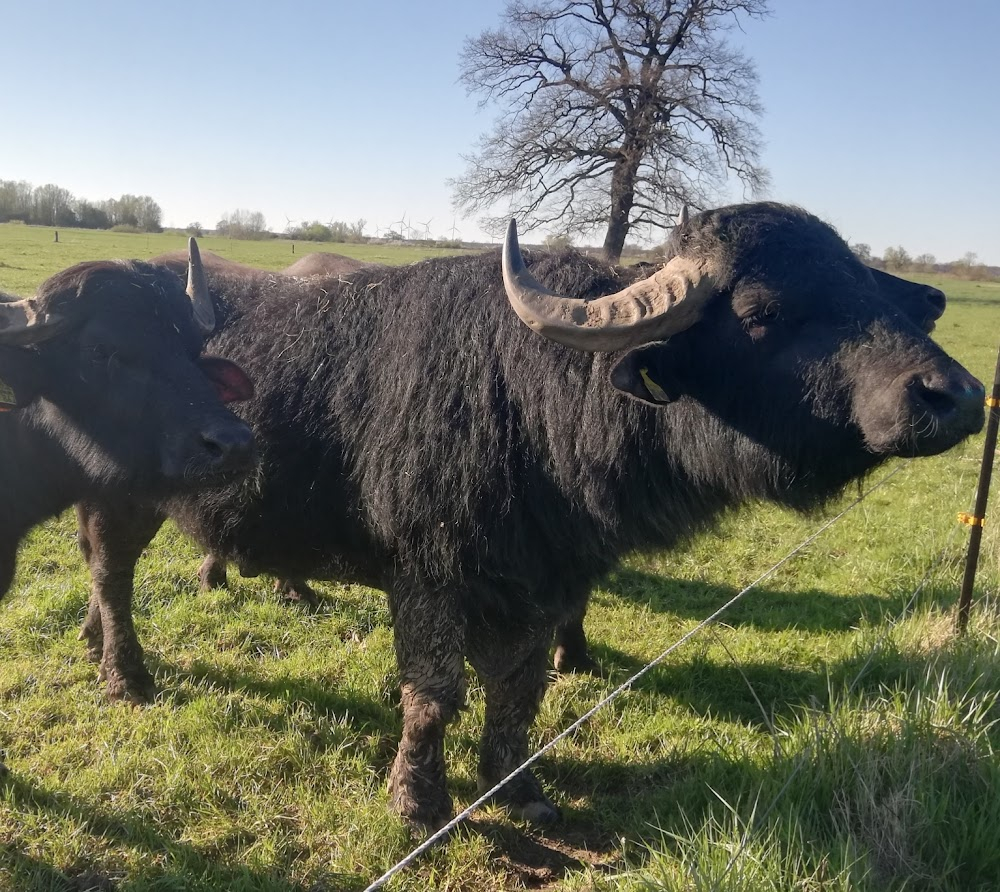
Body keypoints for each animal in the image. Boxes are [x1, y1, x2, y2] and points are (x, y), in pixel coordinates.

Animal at [74, 202, 980, 828]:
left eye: (863, 284)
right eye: (762, 312)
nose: (957, 396)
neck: (532, 400)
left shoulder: (547, 581)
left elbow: (519, 693)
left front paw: (521, 791)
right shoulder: (428, 577)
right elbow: (434, 695)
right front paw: (417, 800)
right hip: (121, 497)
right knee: (113, 573)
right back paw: (127, 676)